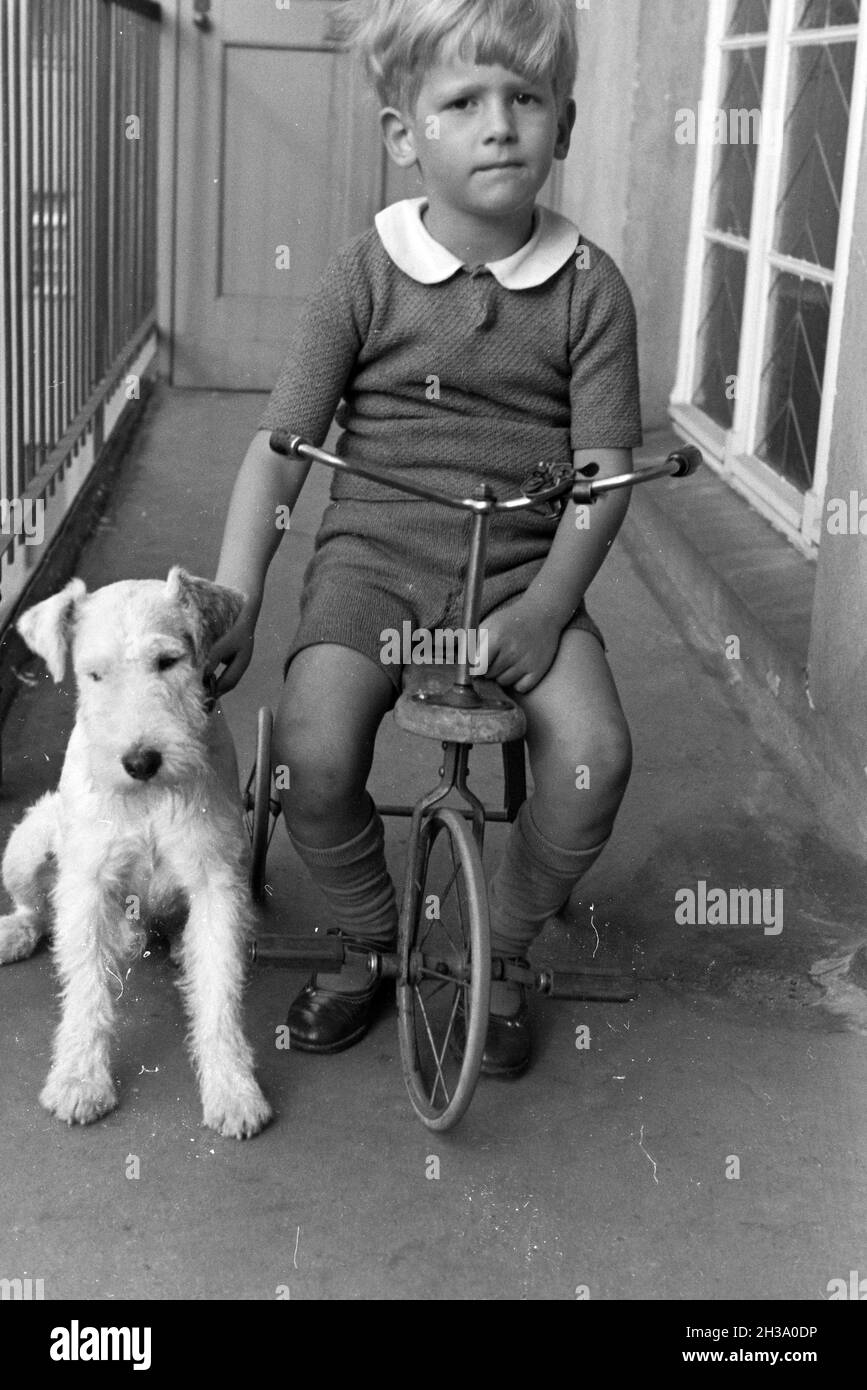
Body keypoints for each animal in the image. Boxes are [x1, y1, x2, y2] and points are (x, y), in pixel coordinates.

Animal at [0, 567, 272, 1139]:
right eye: (94, 675)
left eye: (168, 661)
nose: (140, 761)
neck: (148, 799)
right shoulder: (87, 881)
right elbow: (85, 991)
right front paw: (80, 1081)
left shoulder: (216, 880)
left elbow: (219, 992)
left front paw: (233, 1090)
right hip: (29, 845)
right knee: (37, 911)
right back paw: (18, 933)